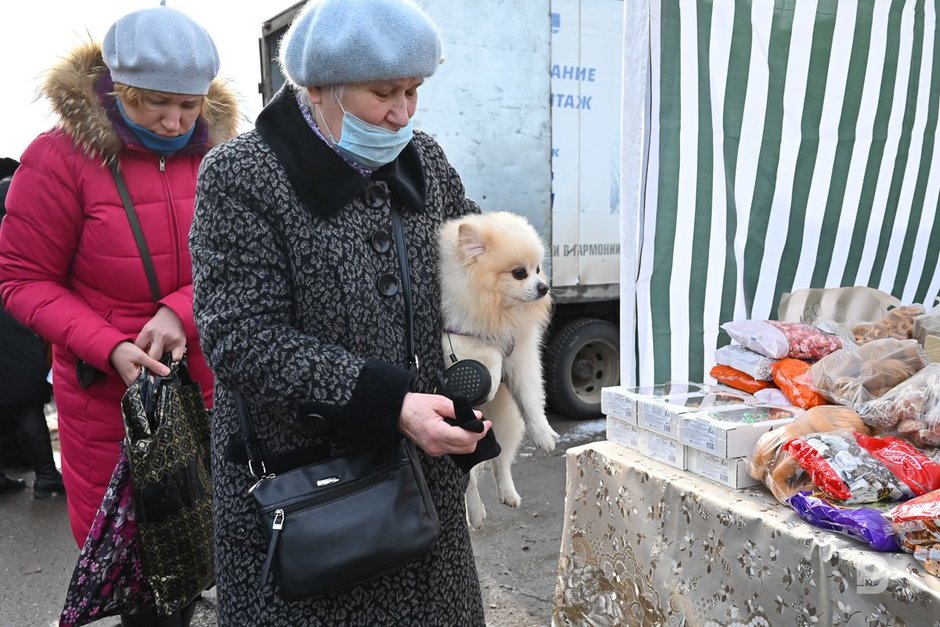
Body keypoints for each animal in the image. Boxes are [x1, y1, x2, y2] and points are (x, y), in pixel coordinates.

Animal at [438, 211, 560, 528]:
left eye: (538, 269)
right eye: (519, 273)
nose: (544, 287)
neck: (498, 309)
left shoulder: (523, 357)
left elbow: (530, 400)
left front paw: (544, 435)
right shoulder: (455, 338)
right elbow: (490, 354)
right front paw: (490, 381)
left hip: (504, 423)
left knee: (500, 461)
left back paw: (507, 494)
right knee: (468, 479)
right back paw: (476, 513)